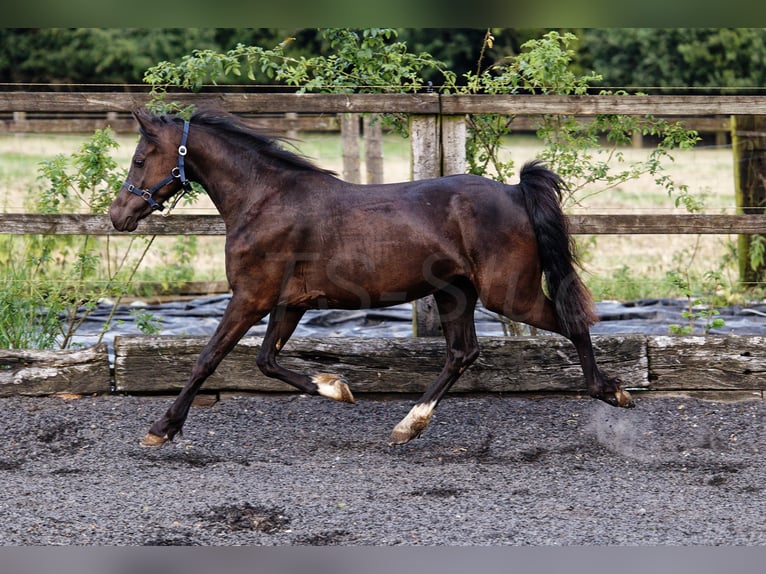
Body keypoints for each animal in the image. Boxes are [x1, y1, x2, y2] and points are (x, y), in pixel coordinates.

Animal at [109, 108, 636, 450]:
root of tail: (513, 191)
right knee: (462, 353)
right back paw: (408, 426)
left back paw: (611, 391)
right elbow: (265, 362)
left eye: (139, 158)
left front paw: (161, 428)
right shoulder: (289, 302)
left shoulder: (251, 296)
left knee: (571, 323)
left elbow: (207, 359)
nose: (118, 215)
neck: (263, 200)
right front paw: (336, 388)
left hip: (509, 295)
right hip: (455, 294)